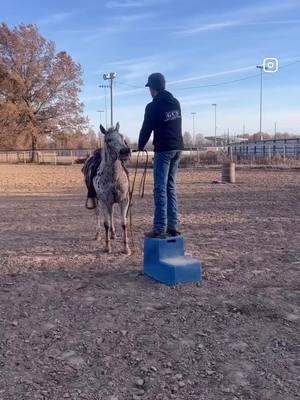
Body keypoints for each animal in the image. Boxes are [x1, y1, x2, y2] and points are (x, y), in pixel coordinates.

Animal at [93, 122, 131, 255]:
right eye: (108, 140)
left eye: (122, 136)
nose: (125, 151)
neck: (114, 178)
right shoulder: (105, 201)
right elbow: (106, 224)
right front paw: (107, 247)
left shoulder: (124, 201)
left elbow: (124, 223)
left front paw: (126, 248)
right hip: (98, 201)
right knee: (99, 215)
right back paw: (98, 235)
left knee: (111, 214)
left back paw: (113, 234)